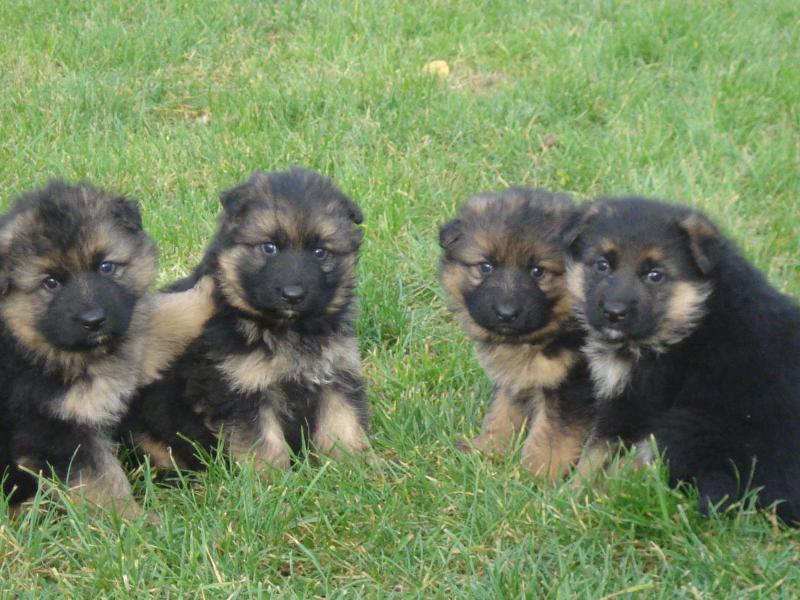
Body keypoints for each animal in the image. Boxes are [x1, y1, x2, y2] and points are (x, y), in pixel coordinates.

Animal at [0, 180, 214, 517]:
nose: (94, 321)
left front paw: (211, 291)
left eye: (106, 266)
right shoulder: (54, 429)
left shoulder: (127, 337)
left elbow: (160, 318)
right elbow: (101, 480)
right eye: (50, 282)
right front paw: (132, 521)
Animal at [121, 168, 369, 470]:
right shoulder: (240, 389)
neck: (286, 329)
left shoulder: (337, 376)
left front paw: (350, 468)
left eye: (320, 252)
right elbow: (264, 446)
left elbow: (342, 426)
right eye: (269, 247)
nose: (293, 295)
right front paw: (272, 479)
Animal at [438, 187, 596, 481]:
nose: (506, 313)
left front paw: (537, 476)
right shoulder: (513, 378)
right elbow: (501, 413)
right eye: (485, 267)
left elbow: (553, 436)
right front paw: (487, 450)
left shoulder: (574, 388)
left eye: (538, 271)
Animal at [566, 197, 800, 522]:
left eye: (655, 275)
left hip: (688, 423)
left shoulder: (637, 403)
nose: (614, 311)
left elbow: (595, 451)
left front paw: (570, 497)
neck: (693, 314)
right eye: (602, 265)